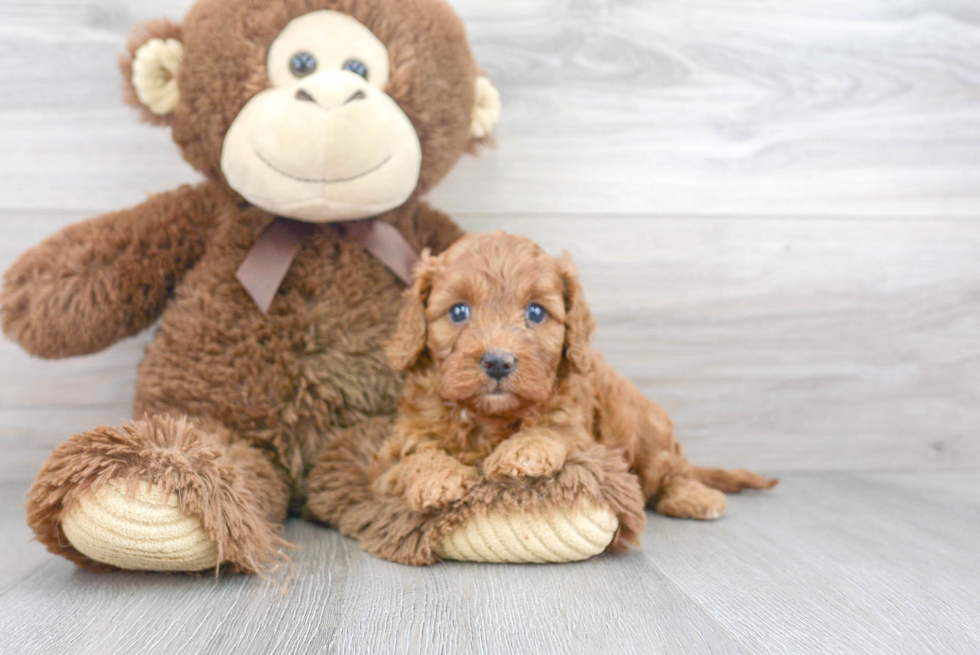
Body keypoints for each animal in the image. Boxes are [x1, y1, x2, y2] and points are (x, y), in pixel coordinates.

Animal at [372, 233, 776, 520]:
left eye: (536, 312)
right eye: (458, 311)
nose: (498, 362)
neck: (490, 418)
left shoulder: (583, 434)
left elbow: (554, 431)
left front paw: (524, 451)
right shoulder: (389, 460)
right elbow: (416, 456)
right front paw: (436, 478)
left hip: (646, 426)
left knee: (670, 471)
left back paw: (693, 495)